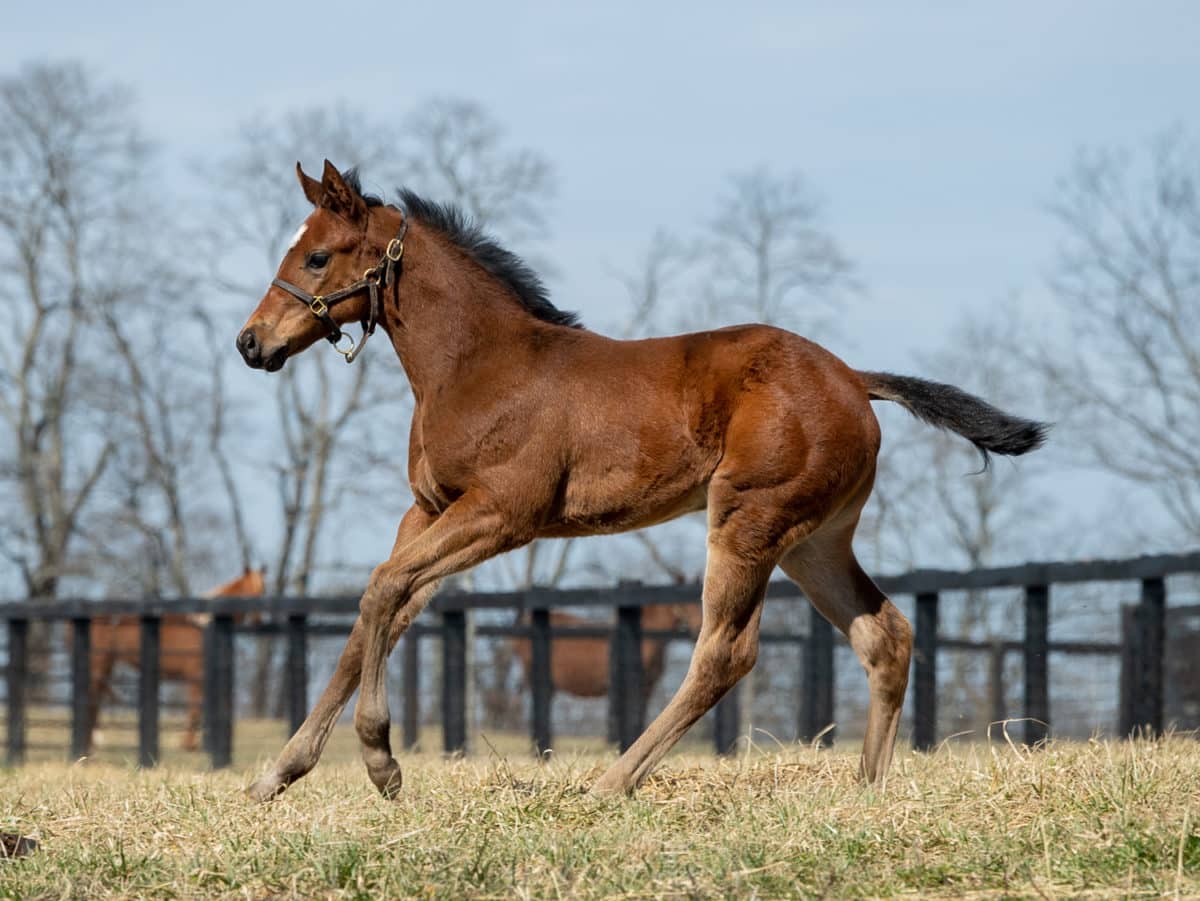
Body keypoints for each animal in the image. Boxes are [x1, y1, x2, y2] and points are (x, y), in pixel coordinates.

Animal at [87, 571, 266, 753]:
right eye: (250, 592)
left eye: (263, 591)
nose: (259, 620)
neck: (203, 626)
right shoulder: (195, 677)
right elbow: (194, 708)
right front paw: (188, 744)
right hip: (98, 666)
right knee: (93, 698)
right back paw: (93, 741)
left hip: (106, 667)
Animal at [234, 158, 1041, 801]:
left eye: (318, 257)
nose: (250, 342)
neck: (475, 364)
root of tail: (853, 378)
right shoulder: (428, 510)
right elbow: (376, 613)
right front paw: (280, 772)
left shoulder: (504, 512)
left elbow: (383, 591)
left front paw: (381, 760)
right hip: (815, 540)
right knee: (885, 634)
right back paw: (867, 787)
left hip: (750, 518)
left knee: (726, 651)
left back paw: (611, 781)